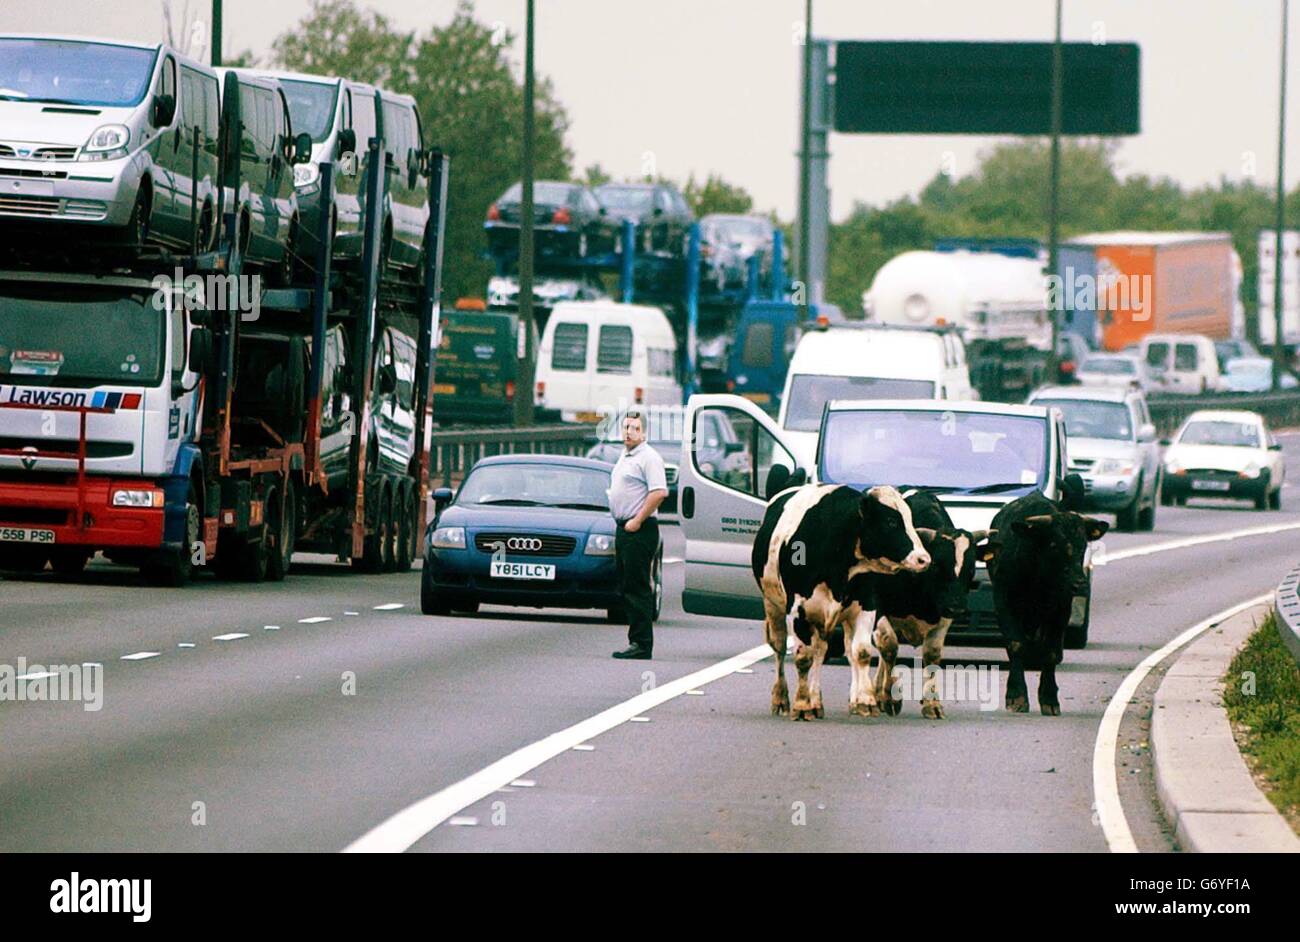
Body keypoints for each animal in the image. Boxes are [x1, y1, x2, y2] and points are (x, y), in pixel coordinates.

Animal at [748, 485, 930, 722]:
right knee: (779, 648)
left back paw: (817, 701)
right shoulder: (797, 612)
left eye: (909, 518)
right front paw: (802, 705)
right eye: (891, 521)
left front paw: (866, 701)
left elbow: (861, 652)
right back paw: (782, 699)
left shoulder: (866, 606)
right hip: (773, 607)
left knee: (821, 651)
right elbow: (803, 657)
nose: (923, 559)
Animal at [863, 488, 993, 717]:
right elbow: (890, 646)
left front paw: (932, 704)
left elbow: (932, 655)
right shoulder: (878, 610)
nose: (957, 607)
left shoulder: (943, 615)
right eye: (937, 567)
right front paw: (890, 697)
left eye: (970, 569)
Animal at [982, 491, 1107, 712]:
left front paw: (1049, 698)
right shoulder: (1003, 602)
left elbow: (1051, 652)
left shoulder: (1061, 609)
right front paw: (1016, 696)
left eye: (1083, 545)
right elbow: (1016, 644)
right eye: (1054, 545)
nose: (1079, 584)